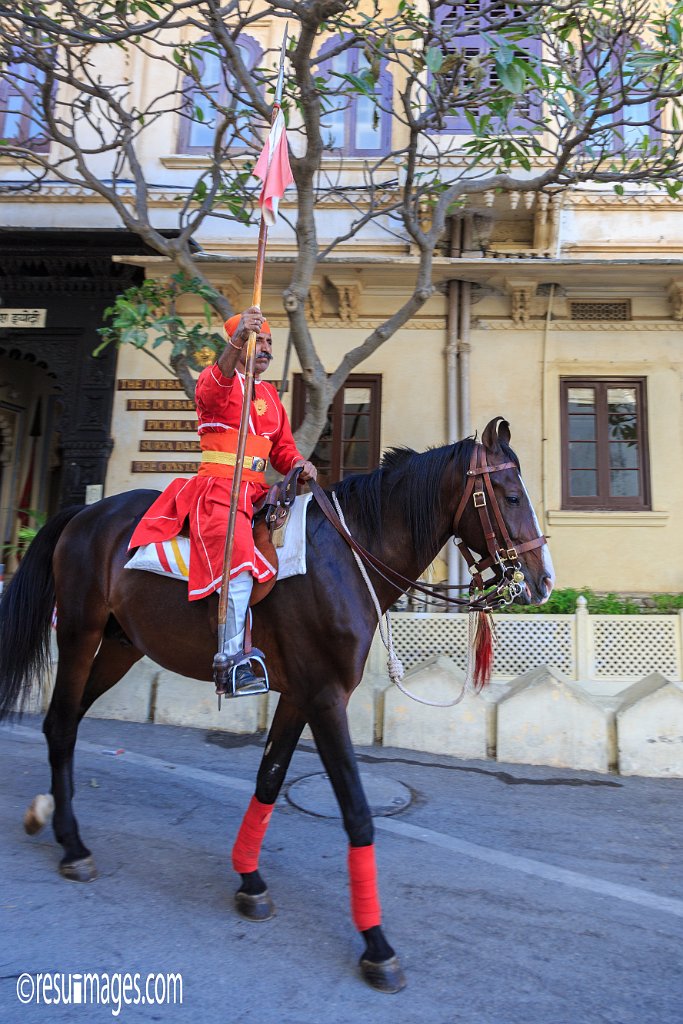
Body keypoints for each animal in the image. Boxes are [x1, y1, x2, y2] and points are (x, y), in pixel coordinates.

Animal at [0, 415, 552, 991]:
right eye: (512, 495)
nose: (542, 581)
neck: (348, 558)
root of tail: (84, 513)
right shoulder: (326, 697)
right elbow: (356, 812)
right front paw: (376, 944)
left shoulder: (299, 695)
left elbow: (269, 779)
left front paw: (249, 879)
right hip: (79, 634)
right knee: (61, 724)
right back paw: (72, 845)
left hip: (120, 647)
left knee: (66, 723)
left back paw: (49, 817)